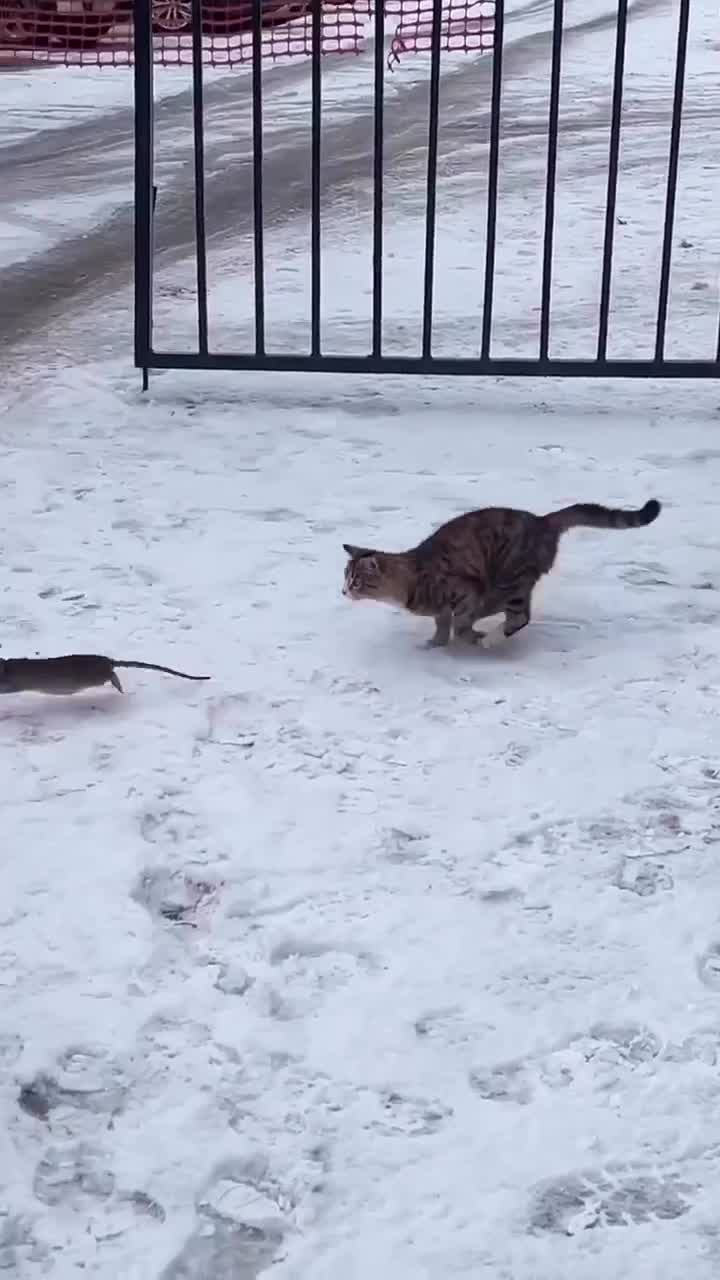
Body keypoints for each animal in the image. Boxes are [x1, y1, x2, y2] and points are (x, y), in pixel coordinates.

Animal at [342, 498, 661, 648]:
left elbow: (461, 625)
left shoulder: (466, 591)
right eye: (345, 577)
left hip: (510, 575)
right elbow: (443, 625)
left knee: (520, 616)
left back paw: (492, 637)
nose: (343, 591)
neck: (412, 577)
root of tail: (542, 521)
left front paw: (472, 637)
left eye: (356, 580)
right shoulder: (444, 609)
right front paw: (435, 643)